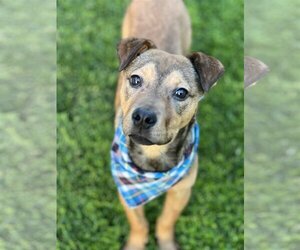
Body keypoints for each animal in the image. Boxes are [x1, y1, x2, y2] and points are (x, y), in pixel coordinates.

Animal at [111, 0, 224, 249]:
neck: (154, 154)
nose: (143, 117)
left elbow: (165, 221)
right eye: (135, 80)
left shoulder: (182, 191)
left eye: (181, 93)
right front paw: (135, 244)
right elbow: (139, 224)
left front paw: (166, 243)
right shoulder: (125, 192)